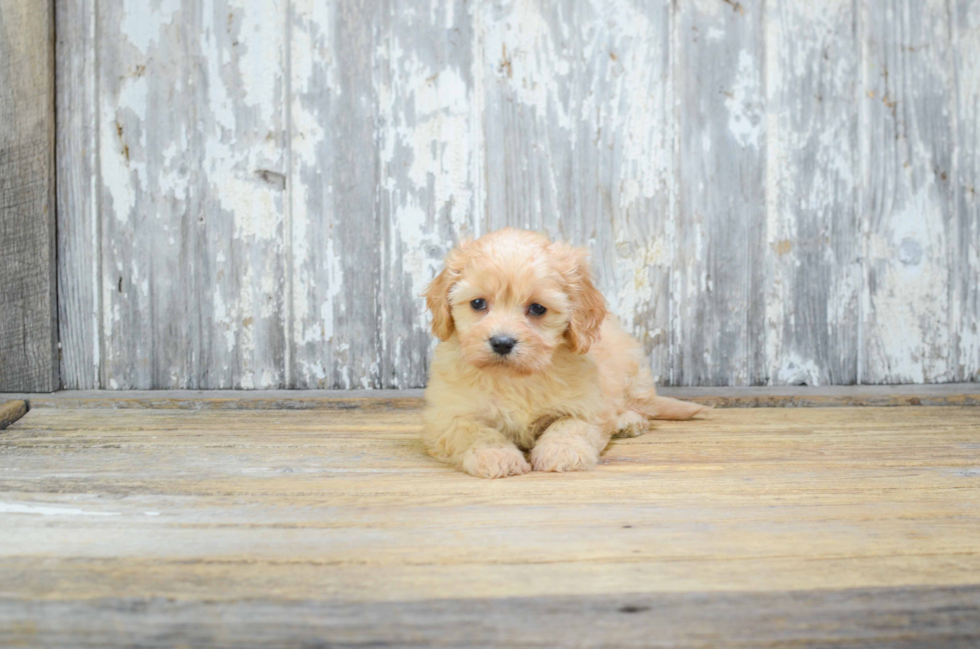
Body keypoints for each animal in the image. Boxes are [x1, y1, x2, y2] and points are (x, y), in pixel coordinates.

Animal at [422, 227, 704, 476]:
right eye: (478, 303)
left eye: (537, 308)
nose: (502, 342)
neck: (515, 379)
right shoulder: (450, 414)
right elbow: (476, 432)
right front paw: (496, 455)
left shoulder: (587, 405)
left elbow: (568, 425)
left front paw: (562, 452)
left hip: (633, 371)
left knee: (642, 406)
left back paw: (627, 421)